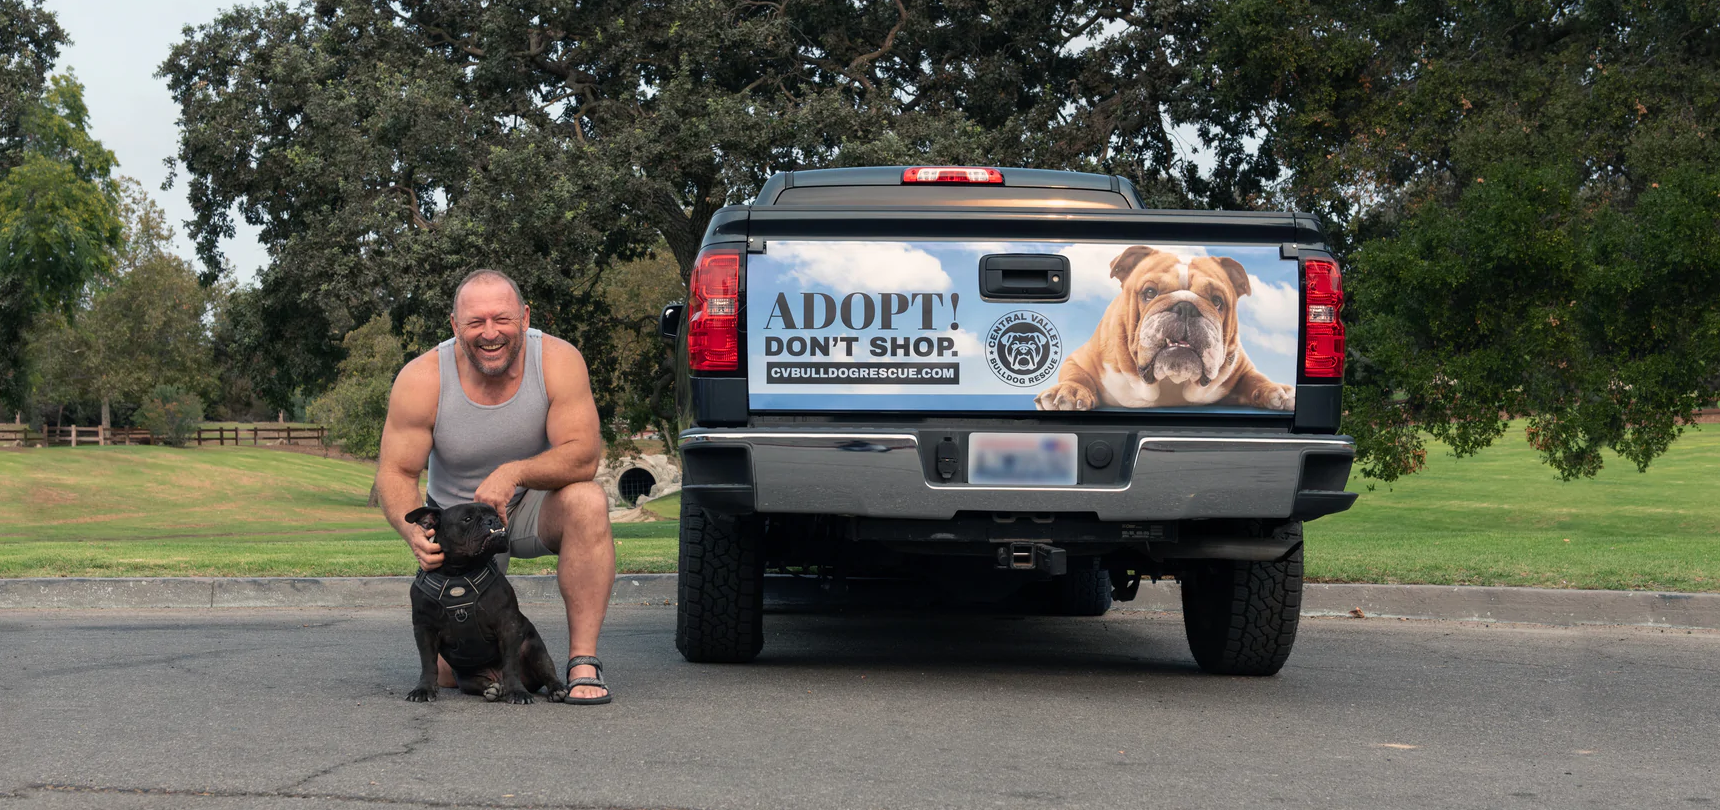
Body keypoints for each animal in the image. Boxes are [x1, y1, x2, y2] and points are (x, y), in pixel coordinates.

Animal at [400, 505, 564, 708]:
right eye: (467, 519)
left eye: (495, 513)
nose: (492, 520)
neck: (459, 573)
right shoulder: (424, 629)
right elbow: (428, 663)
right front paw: (423, 689)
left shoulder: (508, 625)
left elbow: (510, 663)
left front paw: (517, 691)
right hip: (464, 677)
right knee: (479, 682)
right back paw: (492, 688)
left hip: (535, 650)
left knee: (546, 670)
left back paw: (556, 690)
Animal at [1032, 245, 1293, 412]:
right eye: (1149, 292)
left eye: (1218, 301)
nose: (1186, 307)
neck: (1170, 384)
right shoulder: (1081, 359)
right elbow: (1077, 375)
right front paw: (1069, 392)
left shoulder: (1241, 367)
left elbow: (1255, 378)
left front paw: (1277, 392)